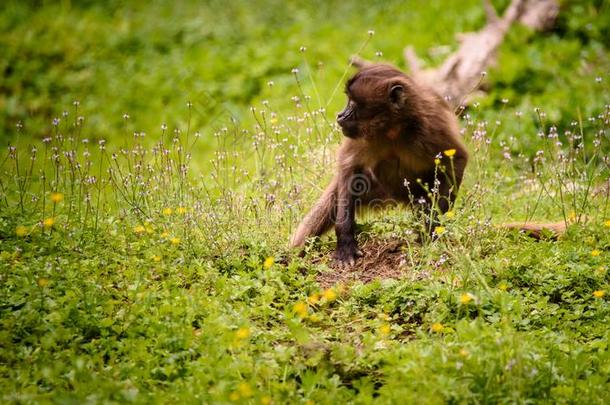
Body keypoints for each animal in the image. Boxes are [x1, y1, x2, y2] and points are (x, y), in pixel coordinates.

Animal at [288, 63, 466, 266]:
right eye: (348, 100)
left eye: (353, 103)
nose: (340, 115)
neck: (391, 129)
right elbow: (348, 168)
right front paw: (346, 241)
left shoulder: (432, 125)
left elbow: (457, 161)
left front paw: (431, 232)